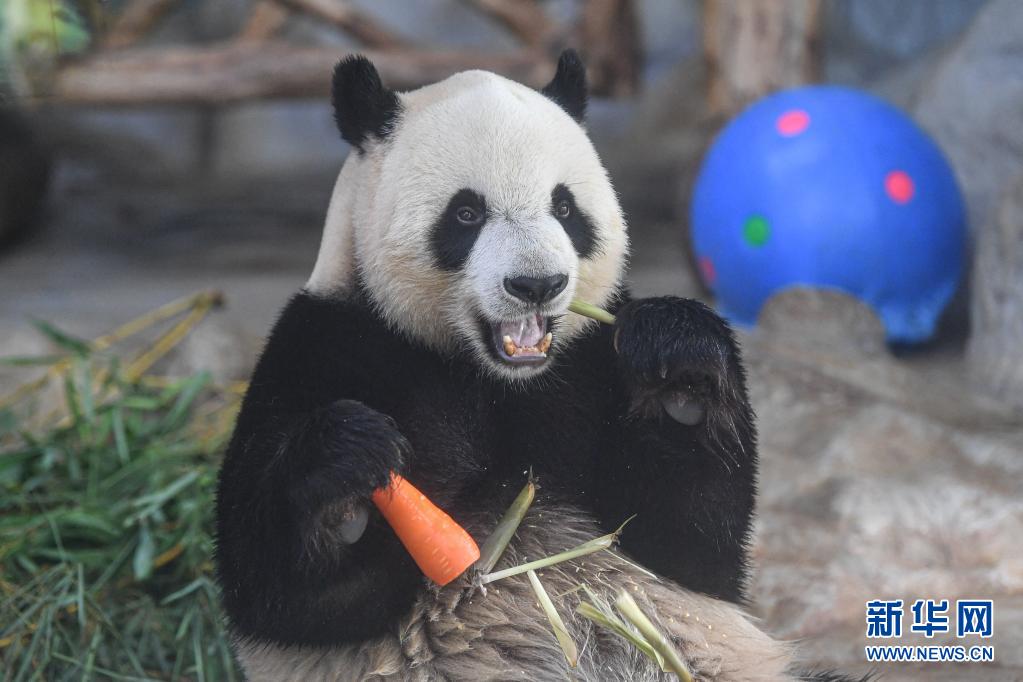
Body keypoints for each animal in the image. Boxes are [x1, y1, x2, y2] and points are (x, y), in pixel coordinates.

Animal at [213, 50, 847, 678]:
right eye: (466, 213)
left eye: (564, 207)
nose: (537, 285)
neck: (496, 378)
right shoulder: (327, 346)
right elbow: (285, 596)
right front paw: (349, 471)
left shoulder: (589, 362)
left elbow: (689, 547)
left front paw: (679, 369)